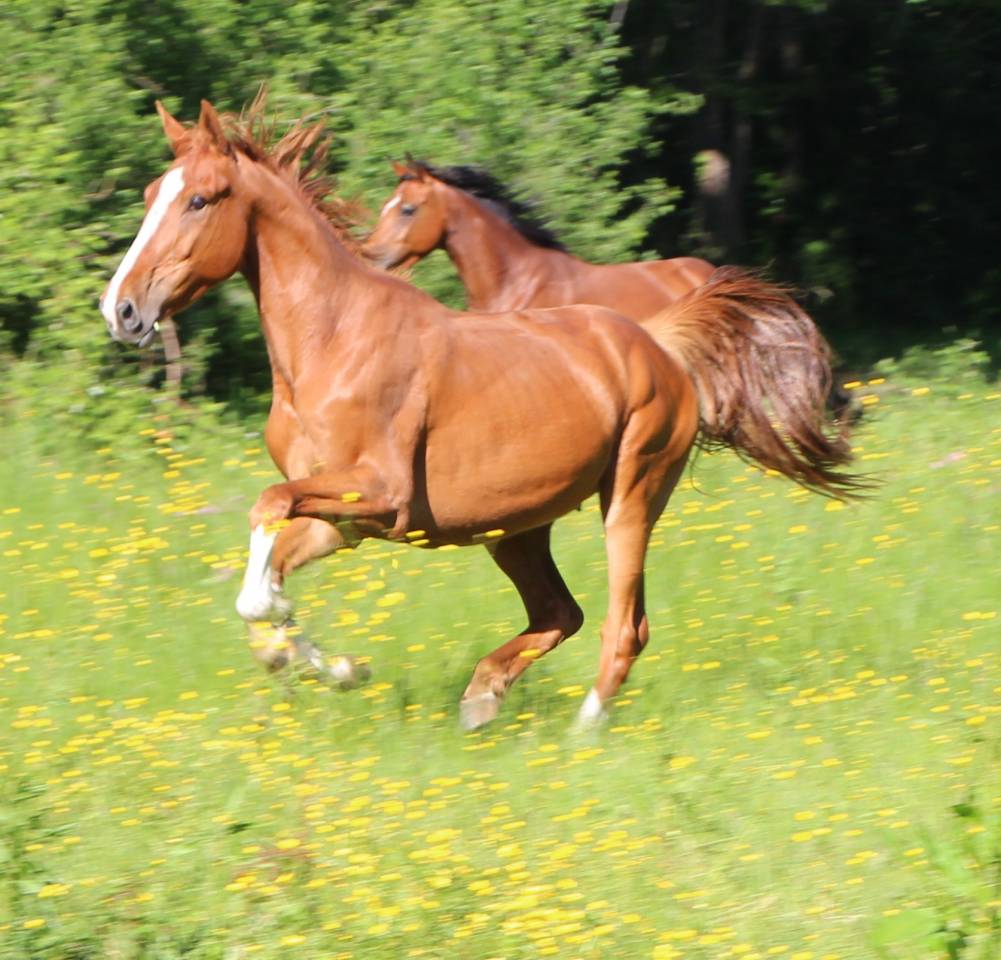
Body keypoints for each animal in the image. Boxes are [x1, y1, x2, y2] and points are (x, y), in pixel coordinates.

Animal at [100, 98, 861, 730]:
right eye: (151, 195)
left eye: (200, 199)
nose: (121, 310)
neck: (331, 341)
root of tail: (660, 345)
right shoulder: (343, 522)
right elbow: (266, 593)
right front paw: (341, 666)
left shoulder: (380, 493)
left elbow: (266, 520)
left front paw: (313, 645)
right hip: (515, 528)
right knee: (561, 612)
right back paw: (482, 696)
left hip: (631, 497)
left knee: (624, 625)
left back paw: (582, 731)